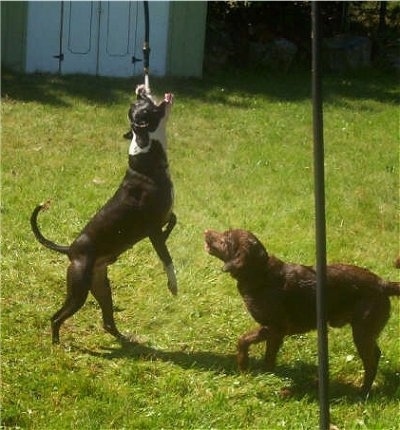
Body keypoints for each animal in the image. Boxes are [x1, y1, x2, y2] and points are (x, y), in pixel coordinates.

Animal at [29, 85, 177, 344]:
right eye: (142, 105)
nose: (140, 90)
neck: (146, 152)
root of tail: (70, 250)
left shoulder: (162, 219)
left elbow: (173, 220)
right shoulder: (152, 229)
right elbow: (167, 258)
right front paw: (173, 284)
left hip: (101, 288)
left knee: (107, 321)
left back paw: (127, 340)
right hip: (78, 293)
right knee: (56, 317)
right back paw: (56, 343)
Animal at [205, 228, 398, 394]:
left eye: (225, 238)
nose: (206, 231)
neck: (260, 273)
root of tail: (382, 284)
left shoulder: (276, 327)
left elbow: (249, 343)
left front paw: (248, 367)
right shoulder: (273, 332)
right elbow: (264, 353)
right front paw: (261, 373)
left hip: (362, 332)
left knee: (371, 361)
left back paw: (363, 391)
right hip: (365, 332)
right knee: (376, 354)